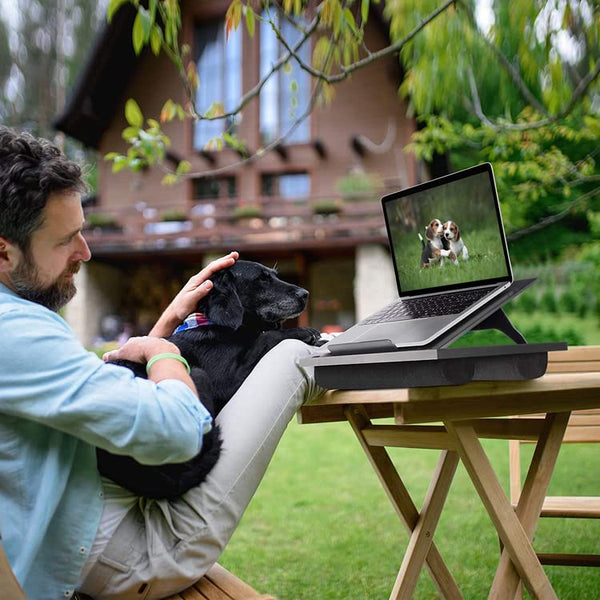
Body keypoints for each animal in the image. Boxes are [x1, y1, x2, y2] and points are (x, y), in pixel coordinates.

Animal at [97, 260, 324, 500]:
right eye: (262, 278)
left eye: (274, 275)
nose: (305, 294)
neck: (219, 326)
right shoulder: (228, 380)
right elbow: (266, 337)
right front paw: (304, 332)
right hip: (197, 377)